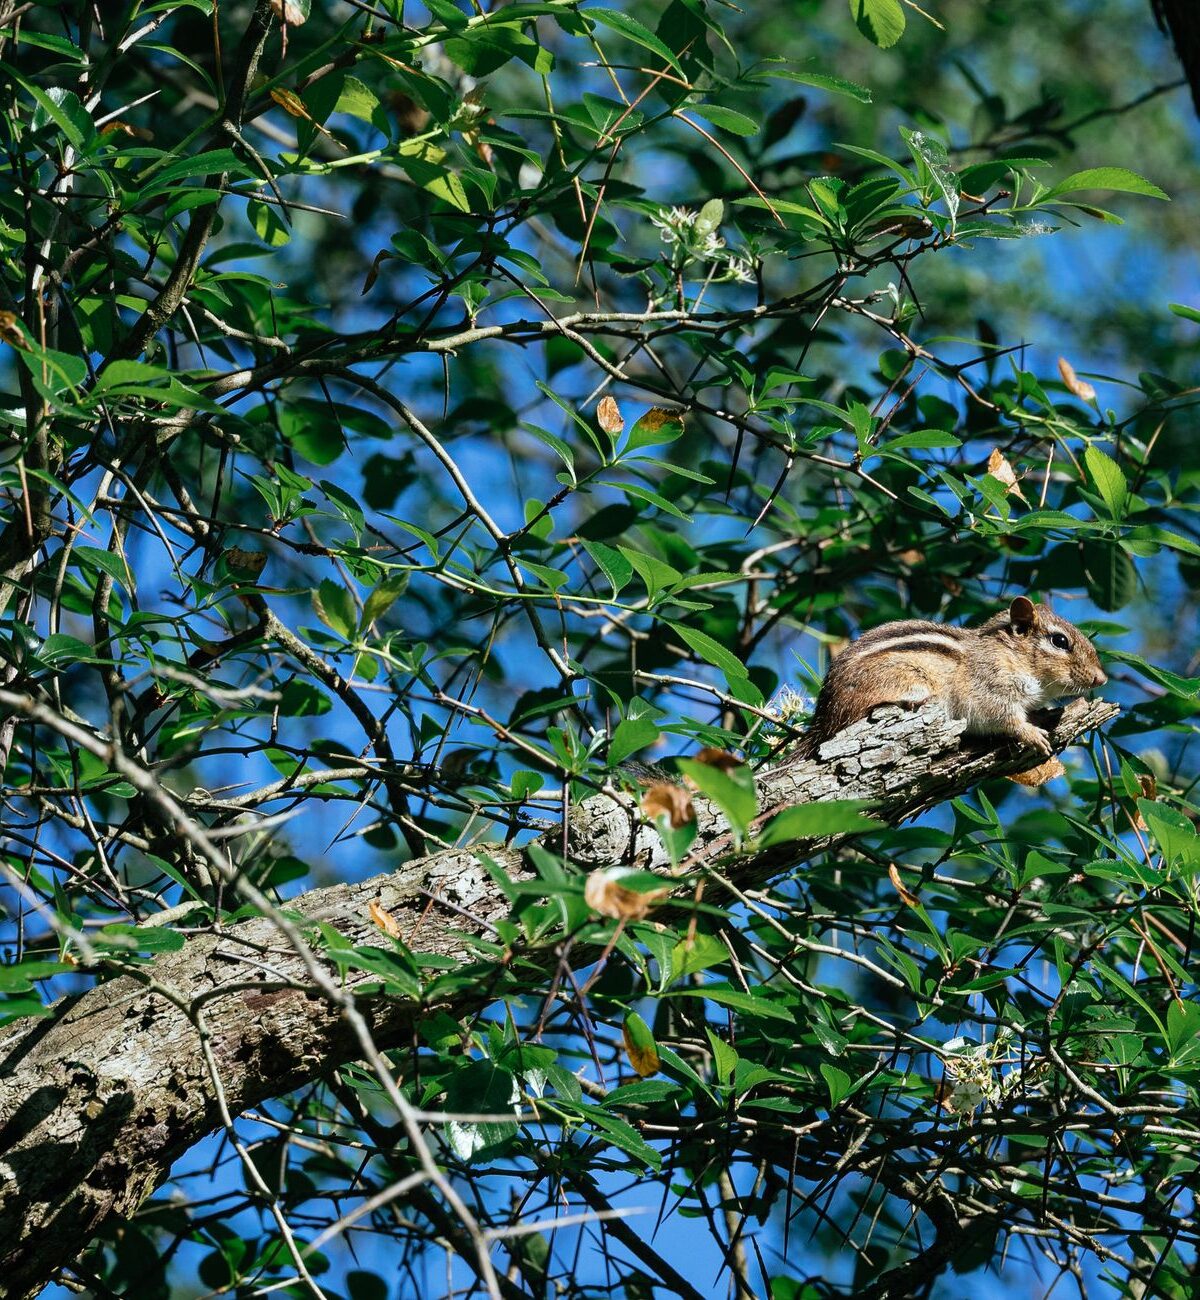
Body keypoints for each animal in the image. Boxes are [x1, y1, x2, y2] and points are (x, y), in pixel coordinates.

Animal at [799, 596, 1107, 760]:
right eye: (1060, 641)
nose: (1101, 679)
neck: (1011, 655)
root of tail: (824, 717)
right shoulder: (990, 687)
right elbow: (1004, 717)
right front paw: (1031, 733)